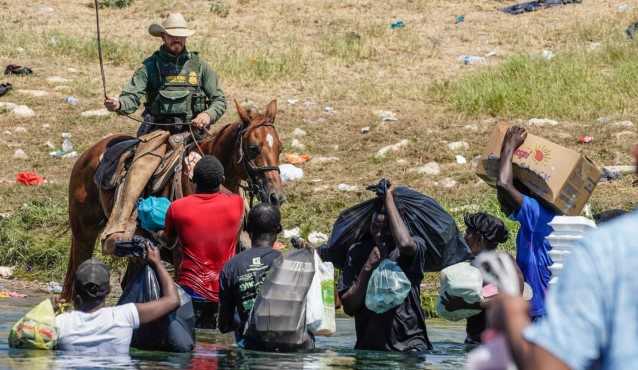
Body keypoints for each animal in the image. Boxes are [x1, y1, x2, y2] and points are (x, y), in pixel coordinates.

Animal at [63, 99, 284, 300]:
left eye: (280, 148)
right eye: (253, 148)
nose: (276, 196)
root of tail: (90, 152)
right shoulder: (181, 257)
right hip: (84, 233)